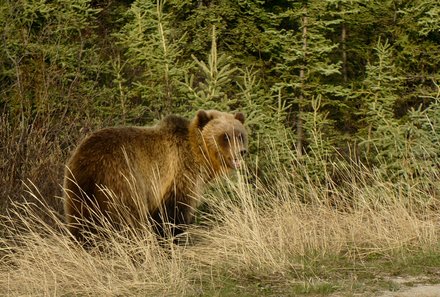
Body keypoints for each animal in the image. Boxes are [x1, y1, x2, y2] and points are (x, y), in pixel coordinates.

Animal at [63, 110, 248, 242]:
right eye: (225, 136)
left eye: (240, 135)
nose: (241, 152)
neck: (198, 154)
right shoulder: (178, 174)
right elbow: (172, 214)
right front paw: (172, 239)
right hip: (123, 182)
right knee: (129, 221)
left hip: (78, 187)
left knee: (81, 223)